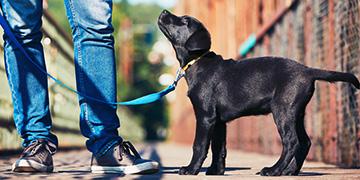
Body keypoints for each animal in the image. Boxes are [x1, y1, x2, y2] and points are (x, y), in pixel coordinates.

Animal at [158, 9, 360, 176]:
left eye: (184, 20)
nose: (164, 11)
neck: (197, 61)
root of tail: (308, 70)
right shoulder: (219, 121)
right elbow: (219, 147)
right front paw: (216, 171)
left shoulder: (205, 116)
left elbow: (199, 145)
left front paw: (190, 169)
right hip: (296, 112)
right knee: (304, 142)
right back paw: (290, 172)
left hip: (282, 110)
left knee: (291, 141)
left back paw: (273, 170)